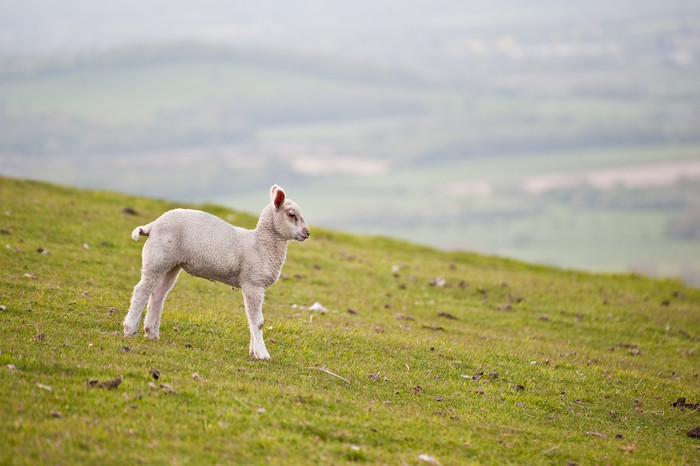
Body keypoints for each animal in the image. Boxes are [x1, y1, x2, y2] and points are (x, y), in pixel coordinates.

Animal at [122, 186, 308, 360]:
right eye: (291, 214)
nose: (307, 233)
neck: (260, 244)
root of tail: (152, 225)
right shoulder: (253, 283)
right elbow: (258, 322)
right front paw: (262, 354)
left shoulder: (252, 286)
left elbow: (251, 319)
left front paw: (253, 351)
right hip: (158, 258)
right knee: (141, 290)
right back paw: (130, 329)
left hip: (172, 263)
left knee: (158, 295)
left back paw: (151, 333)